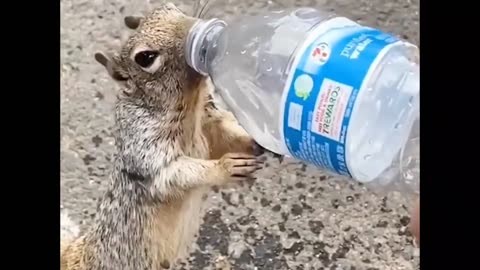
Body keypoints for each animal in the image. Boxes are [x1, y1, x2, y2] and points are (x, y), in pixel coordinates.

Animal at [60, 3, 266, 268]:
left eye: (169, 7)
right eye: (145, 58)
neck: (190, 105)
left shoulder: (209, 120)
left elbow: (226, 133)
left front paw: (258, 139)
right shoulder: (144, 144)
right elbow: (172, 173)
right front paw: (226, 167)